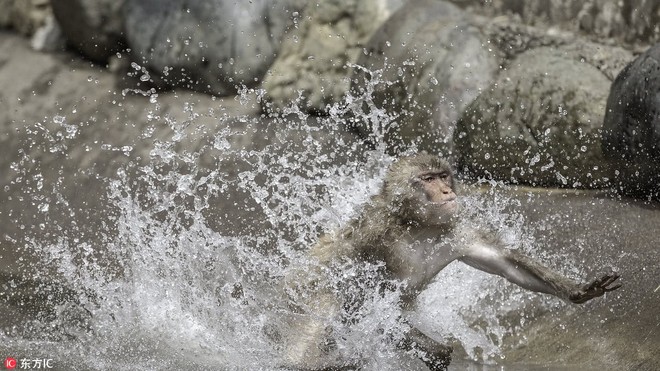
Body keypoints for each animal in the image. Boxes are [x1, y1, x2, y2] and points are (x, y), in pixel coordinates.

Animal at [282, 154, 620, 371]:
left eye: (443, 176)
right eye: (428, 179)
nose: (446, 190)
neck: (416, 226)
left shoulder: (457, 228)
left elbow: (504, 262)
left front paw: (578, 290)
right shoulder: (373, 235)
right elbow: (359, 301)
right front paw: (436, 352)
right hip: (297, 293)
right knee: (326, 304)